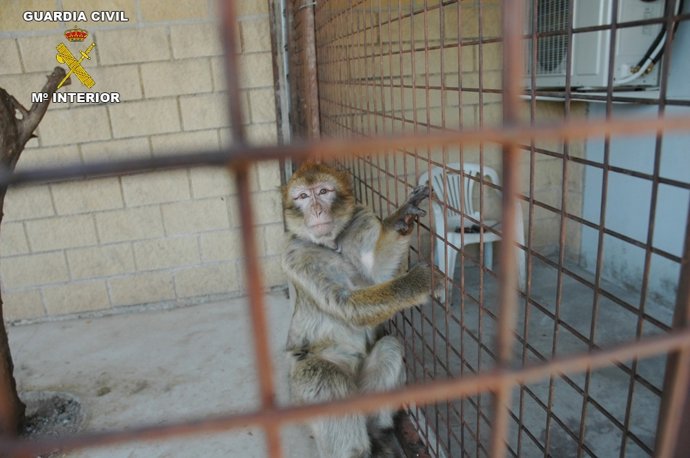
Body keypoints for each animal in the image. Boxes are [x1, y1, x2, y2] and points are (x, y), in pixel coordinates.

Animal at [281, 162, 435, 458]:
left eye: (323, 192)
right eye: (303, 197)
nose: (316, 210)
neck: (331, 243)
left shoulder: (358, 222)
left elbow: (376, 277)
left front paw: (400, 218)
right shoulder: (297, 254)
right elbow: (347, 304)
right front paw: (418, 282)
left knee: (390, 346)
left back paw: (378, 432)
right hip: (299, 392)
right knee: (325, 378)